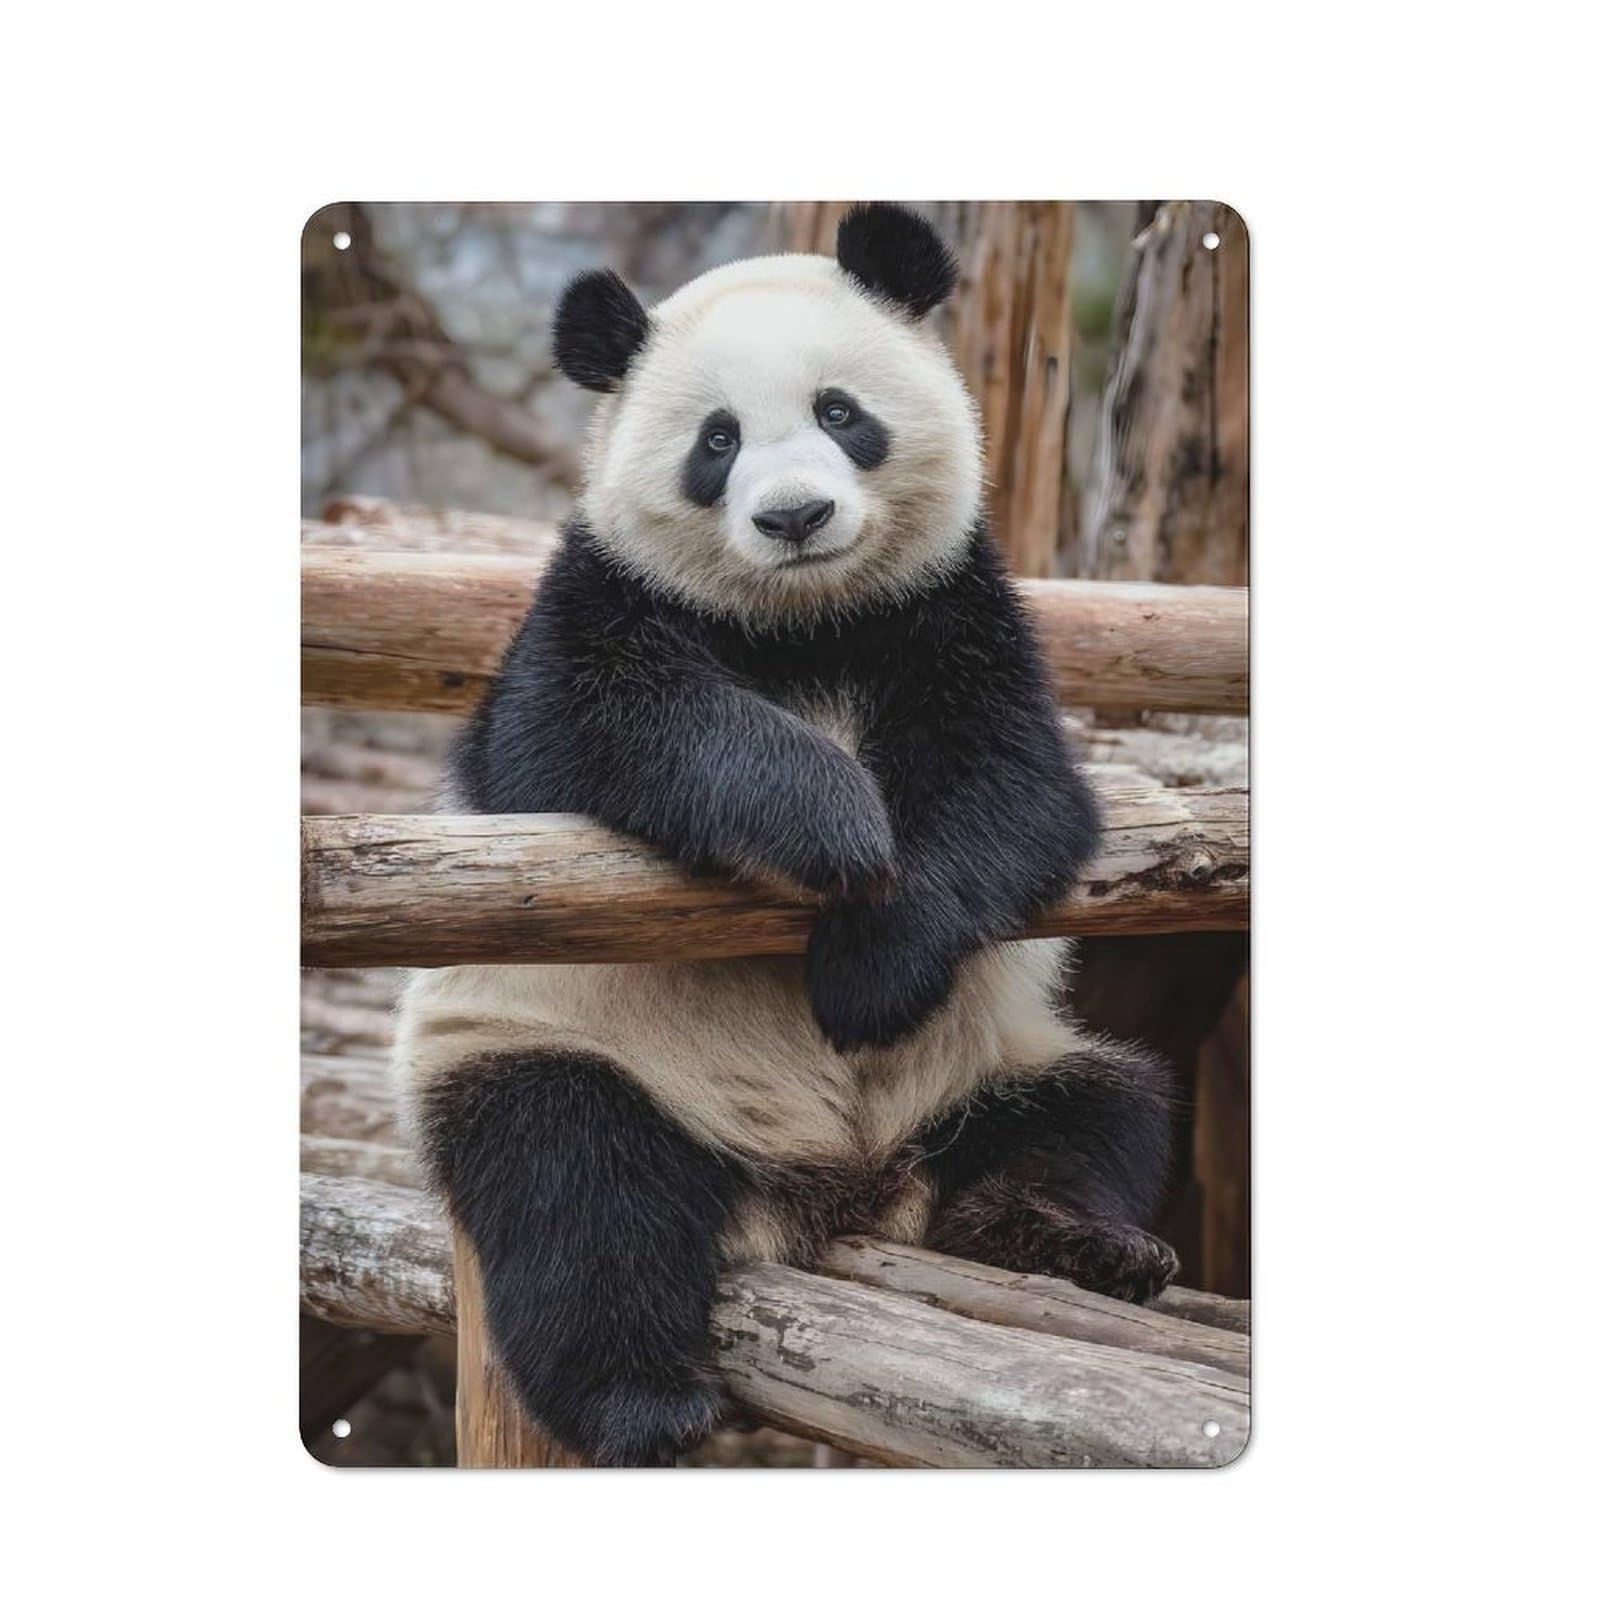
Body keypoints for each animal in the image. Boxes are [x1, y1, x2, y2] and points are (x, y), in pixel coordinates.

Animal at [394, 203, 1178, 1467]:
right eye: (714, 441)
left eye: (839, 412)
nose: (794, 516)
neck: (802, 625)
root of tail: (831, 1190)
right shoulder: (592, 610)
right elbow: (589, 738)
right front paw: (833, 822)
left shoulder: (953, 612)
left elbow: (1019, 793)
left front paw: (867, 971)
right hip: (556, 1042)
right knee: (571, 1186)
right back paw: (640, 1397)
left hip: (988, 1060)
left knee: (1094, 1113)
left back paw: (1072, 1239)